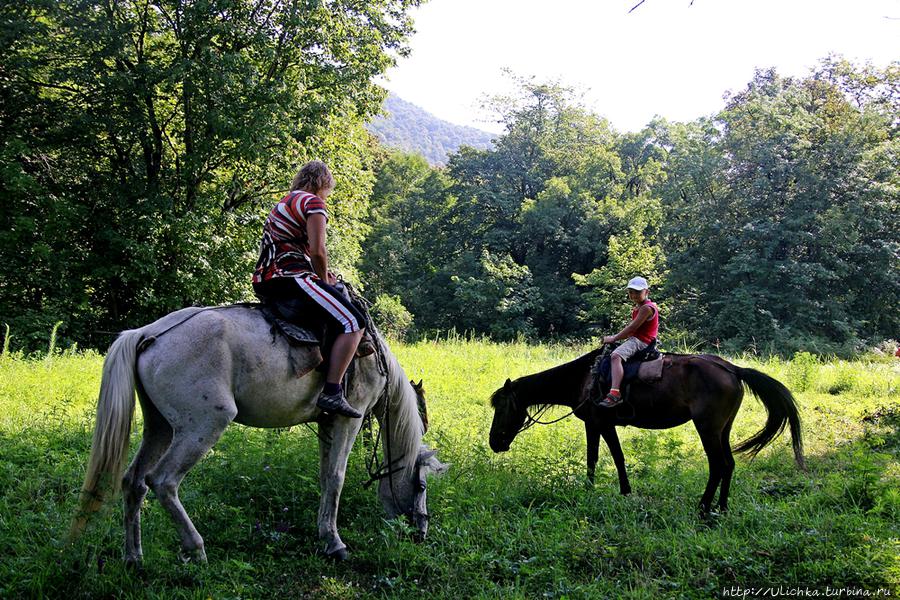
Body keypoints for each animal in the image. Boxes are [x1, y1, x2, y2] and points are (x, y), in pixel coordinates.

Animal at [68, 304, 448, 564]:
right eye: (421, 485)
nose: (421, 532)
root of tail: (148, 333)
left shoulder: (326, 424)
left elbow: (325, 476)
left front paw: (324, 533)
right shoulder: (346, 420)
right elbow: (337, 477)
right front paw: (335, 544)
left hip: (159, 427)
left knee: (134, 482)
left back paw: (134, 558)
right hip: (203, 426)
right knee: (163, 481)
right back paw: (196, 549)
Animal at [488, 350, 804, 512]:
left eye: (501, 408)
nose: (494, 443)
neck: (583, 379)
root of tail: (733, 369)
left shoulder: (602, 424)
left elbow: (613, 458)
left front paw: (620, 491)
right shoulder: (594, 425)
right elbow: (595, 458)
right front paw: (593, 489)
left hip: (707, 429)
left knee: (718, 465)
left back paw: (703, 506)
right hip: (722, 430)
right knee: (729, 464)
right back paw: (722, 507)